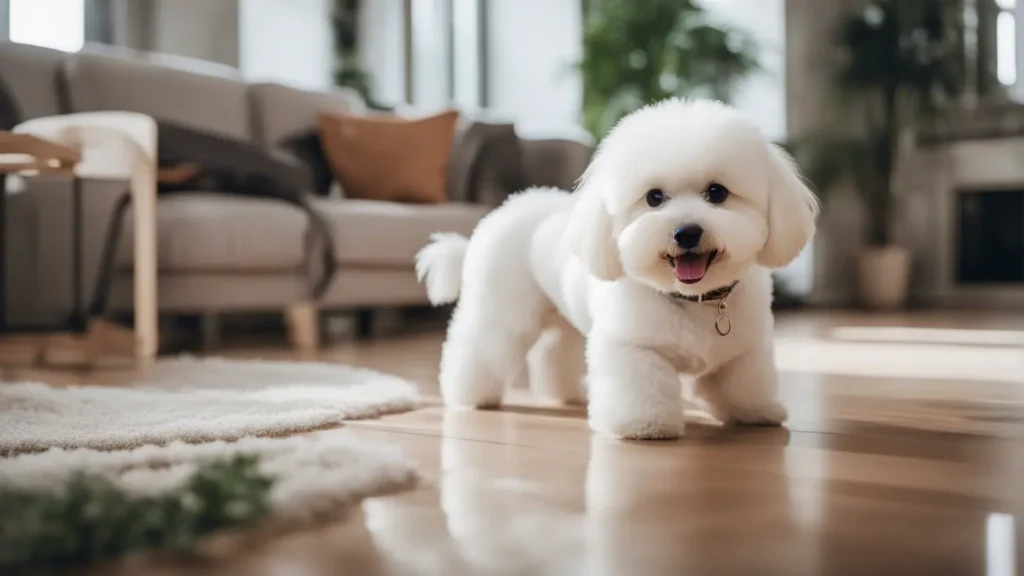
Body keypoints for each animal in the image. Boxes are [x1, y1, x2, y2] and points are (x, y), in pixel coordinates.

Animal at [413, 99, 815, 438]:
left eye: (717, 193)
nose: (686, 232)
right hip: (504, 313)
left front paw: (754, 412)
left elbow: (744, 381)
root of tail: (503, 210)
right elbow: (642, 386)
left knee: (554, 353)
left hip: (565, 319)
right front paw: (645, 425)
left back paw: (569, 394)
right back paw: (471, 395)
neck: (692, 299)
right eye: (654, 197)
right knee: (480, 347)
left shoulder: (746, 348)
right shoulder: (632, 347)